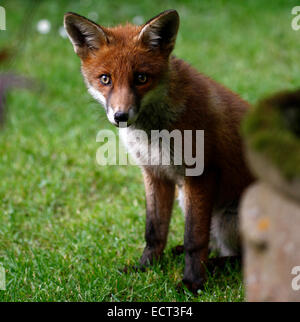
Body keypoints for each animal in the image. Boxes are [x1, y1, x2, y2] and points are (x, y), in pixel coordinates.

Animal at [64, 10, 254, 294]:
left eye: (141, 78)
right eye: (105, 79)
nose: (121, 116)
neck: (154, 136)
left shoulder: (199, 176)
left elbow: (194, 239)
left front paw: (192, 283)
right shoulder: (155, 173)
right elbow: (154, 231)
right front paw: (146, 267)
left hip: (228, 217)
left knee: (241, 257)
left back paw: (216, 265)